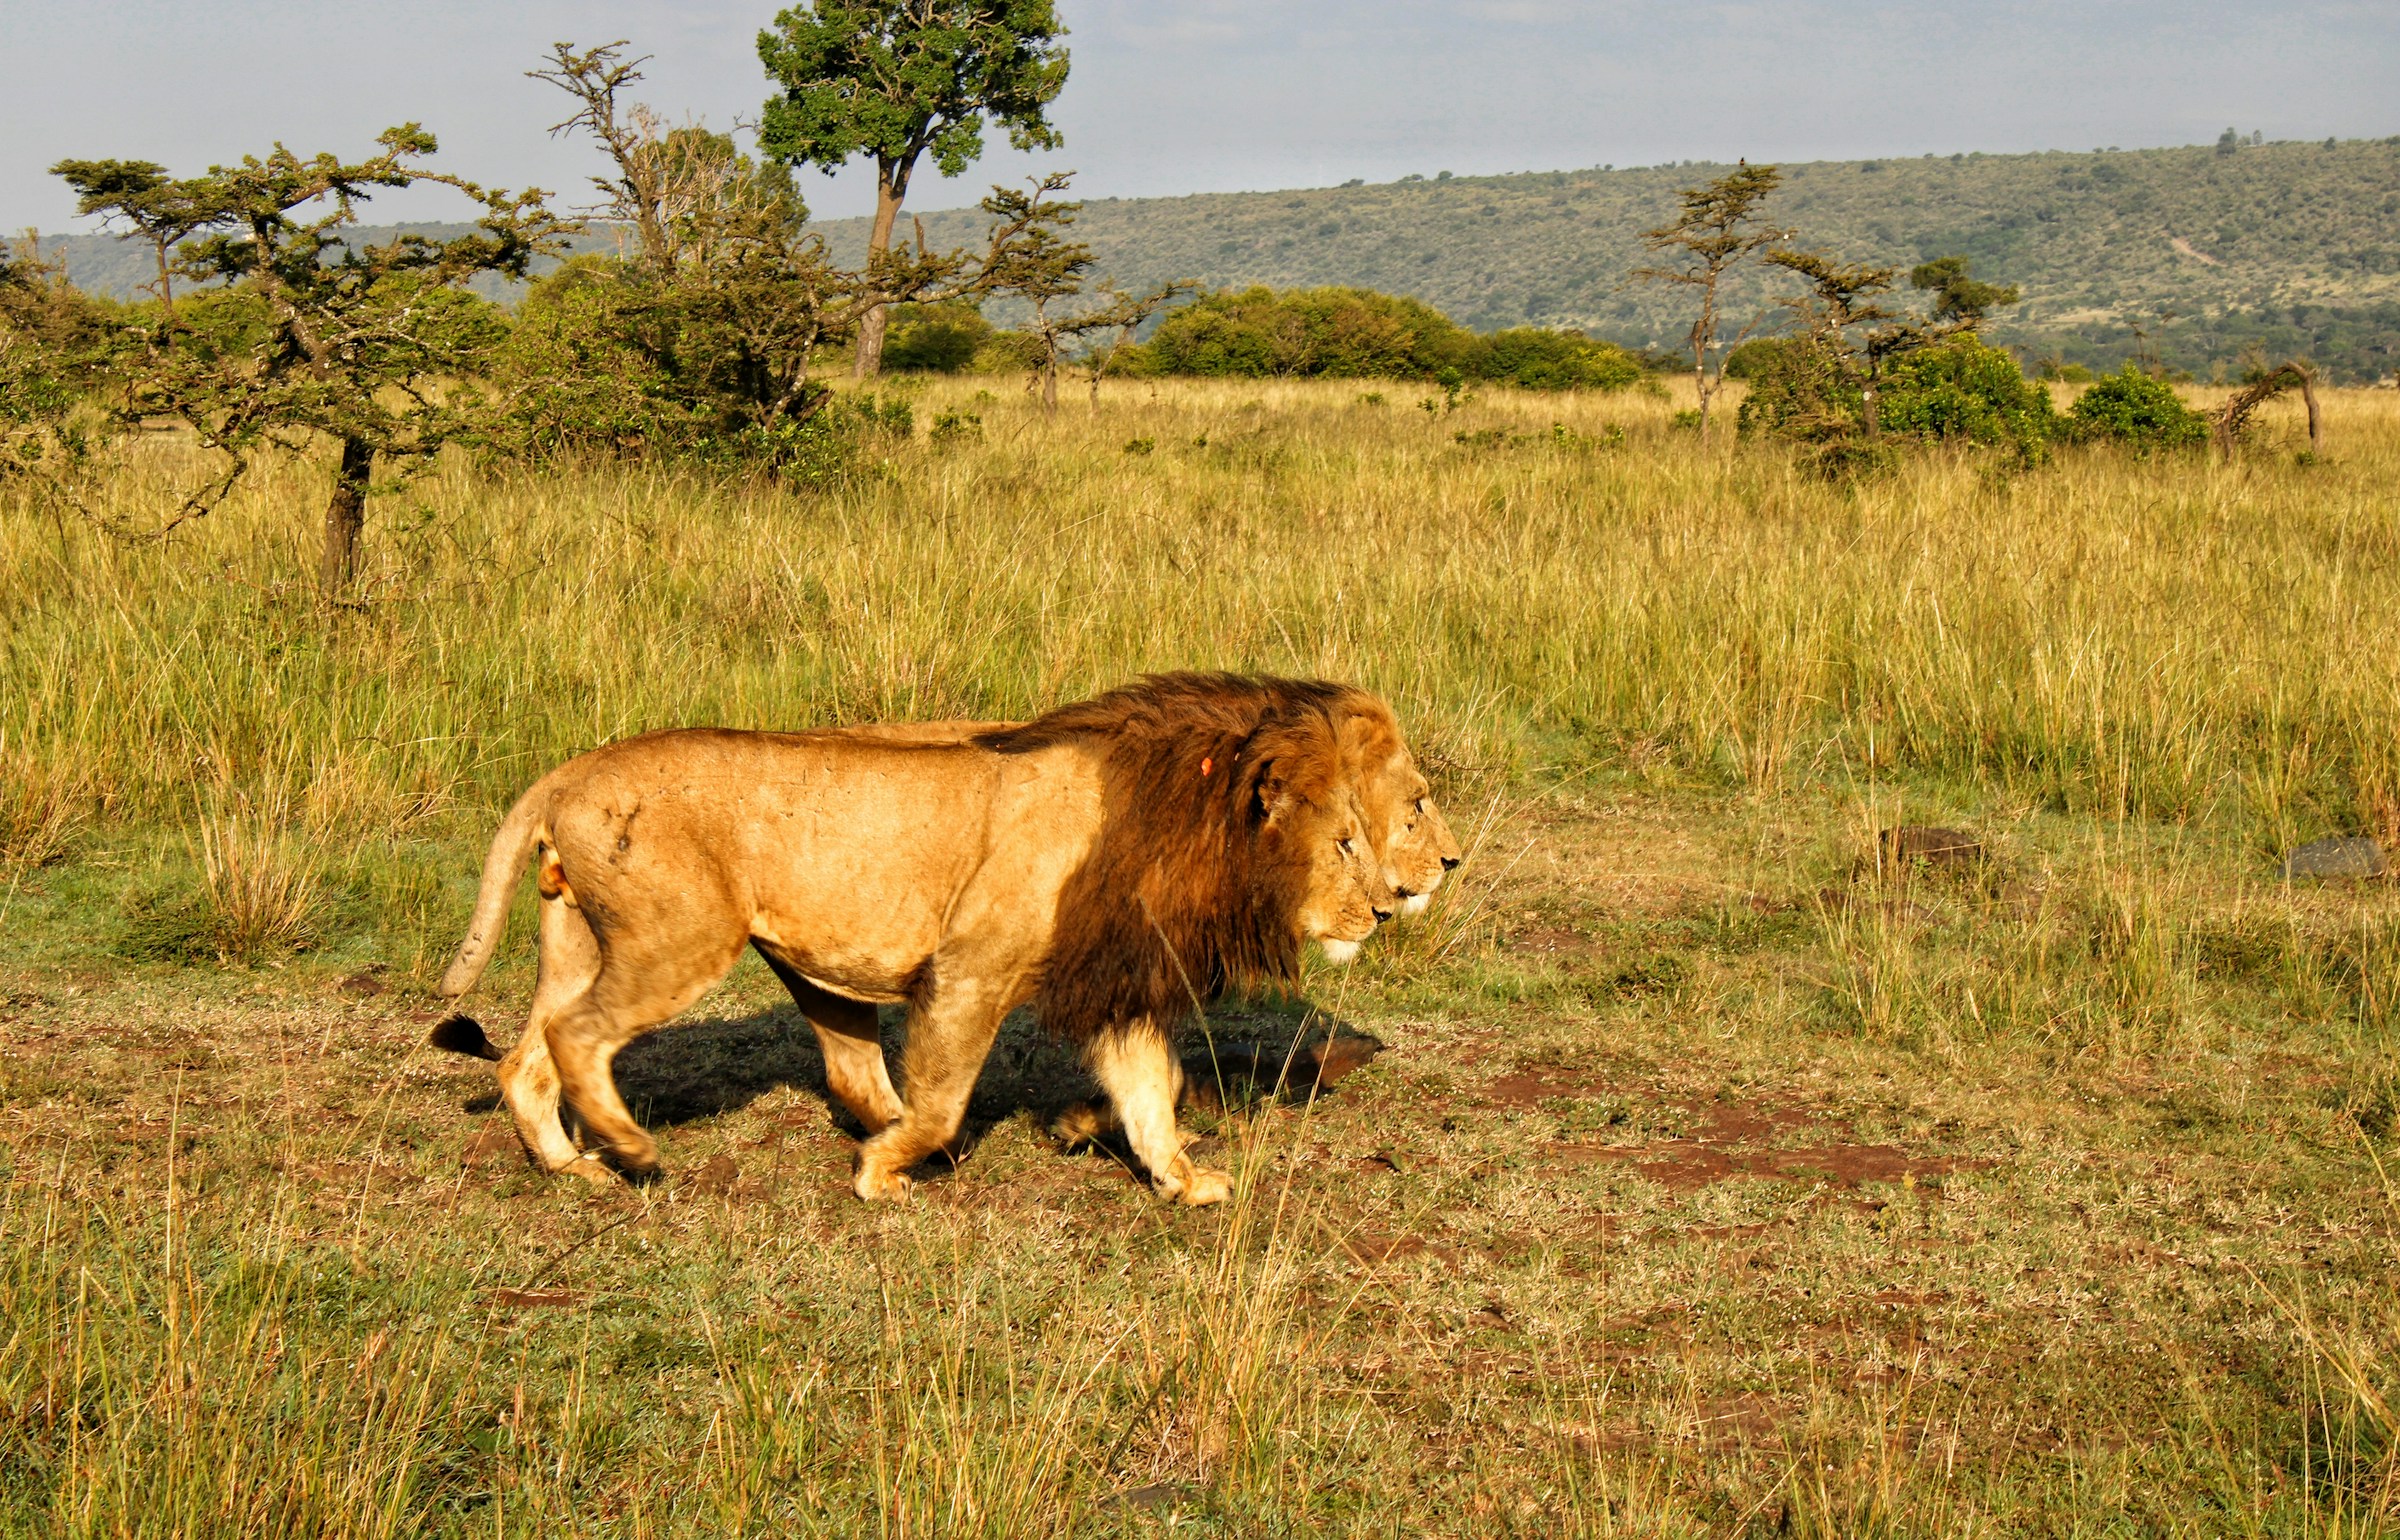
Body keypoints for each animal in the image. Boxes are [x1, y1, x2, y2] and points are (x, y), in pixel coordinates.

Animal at [431, 676, 1402, 1205]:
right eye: (1348, 842)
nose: (1390, 908)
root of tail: (570, 770)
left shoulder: (1111, 981)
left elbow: (1149, 1093)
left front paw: (1182, 1182)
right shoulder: (973, 969)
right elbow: (939, 1102)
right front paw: (884, 1172)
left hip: (583, 941)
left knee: (525, 1057)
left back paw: (568, 1166)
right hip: (678, 938)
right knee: (575, 1036)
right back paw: (629, 1151)